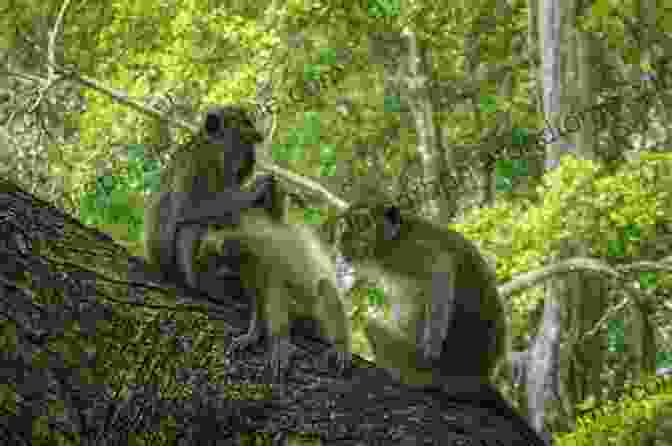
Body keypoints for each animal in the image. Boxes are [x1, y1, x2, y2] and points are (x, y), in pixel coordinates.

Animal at [194, 208, 352, 380]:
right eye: (214, 262)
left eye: (219, 260)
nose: (220, 272)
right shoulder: (249, 268)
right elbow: (259, 297)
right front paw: (252, 335)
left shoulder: (266, 257)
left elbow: (277, 294)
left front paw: (280, 342)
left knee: (324, 286)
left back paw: (340, 344)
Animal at [334, 204, 506, 382]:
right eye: (344, 225)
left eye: (362, 222)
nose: (343, 237)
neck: (392, 241)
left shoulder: (411, 250)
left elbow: (441, 266)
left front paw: (431, 345)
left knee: (371, 324)